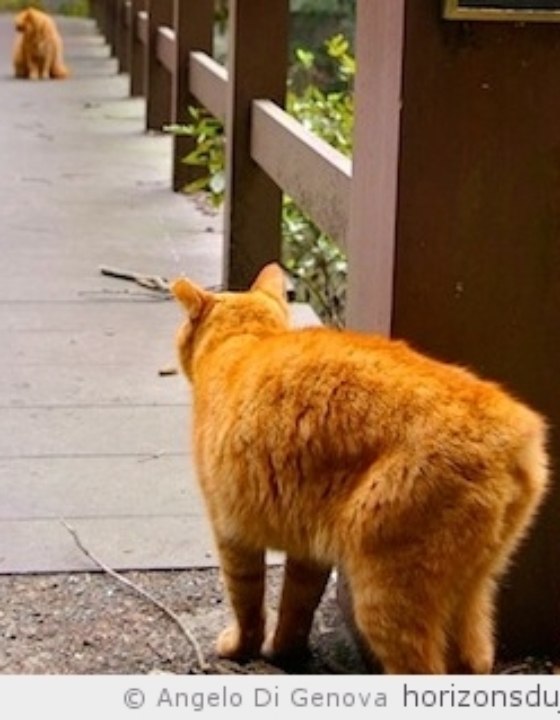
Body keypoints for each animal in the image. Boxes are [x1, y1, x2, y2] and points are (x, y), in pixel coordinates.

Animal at [171, 264, 548, 676]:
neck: (246, 342)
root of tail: (510, 430)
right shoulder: (310, 549)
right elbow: (296, 606)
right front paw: (284, 651)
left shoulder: (231, 534)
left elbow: (248, 604)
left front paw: (241, 648)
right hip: (472, 592)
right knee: (475, 659)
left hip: (386, 597)